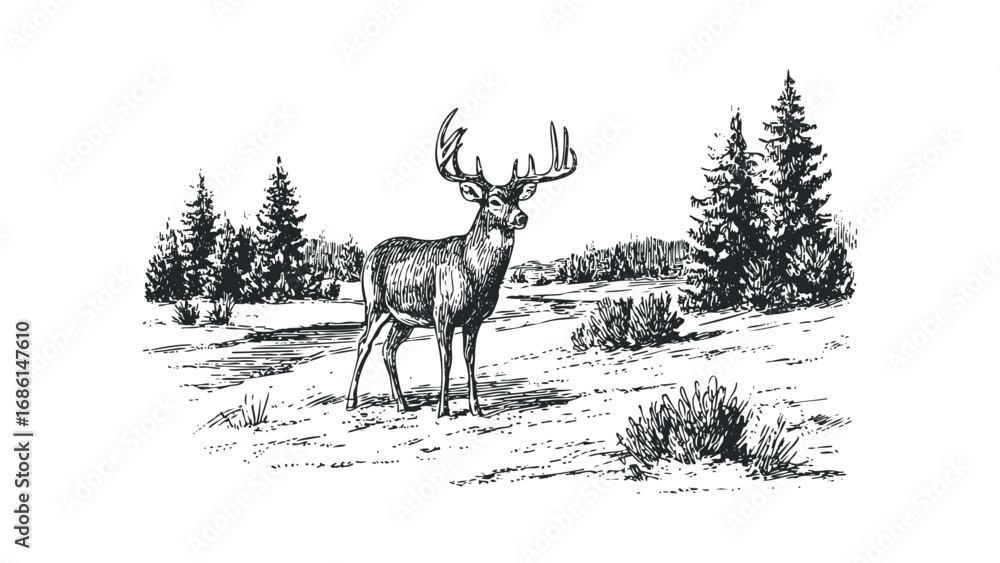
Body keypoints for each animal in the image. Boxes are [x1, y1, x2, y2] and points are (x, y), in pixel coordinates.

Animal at [345, 108, 578, 417]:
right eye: (493, 200)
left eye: (517, 198)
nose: (521, 217)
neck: (473, 272)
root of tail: (372, 252)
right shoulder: (442, 313)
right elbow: (447, 358)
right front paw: (443, 409)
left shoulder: (475, 319)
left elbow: (470, 359)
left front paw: (476, 408)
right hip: (375, 304)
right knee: (364, 343)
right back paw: (351, 401)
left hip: (402, 318)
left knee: (388, 349)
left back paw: (402, 403)